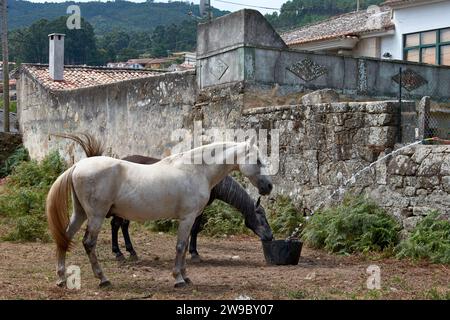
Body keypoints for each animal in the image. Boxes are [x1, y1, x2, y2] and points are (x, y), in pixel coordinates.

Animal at [46, 139, 270, 288]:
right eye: (258, 160)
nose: (268, 187)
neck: (196, 170)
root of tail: (78, 165)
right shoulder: (188, 218)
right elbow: (180, 246)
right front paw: (178, 279)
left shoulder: (189, 219)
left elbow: (185, 246)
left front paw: (186, 276)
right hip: (96, 216)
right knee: (88, 243)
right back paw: (103, 278)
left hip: (81, 214)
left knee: (65, 237)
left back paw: (61, 278)